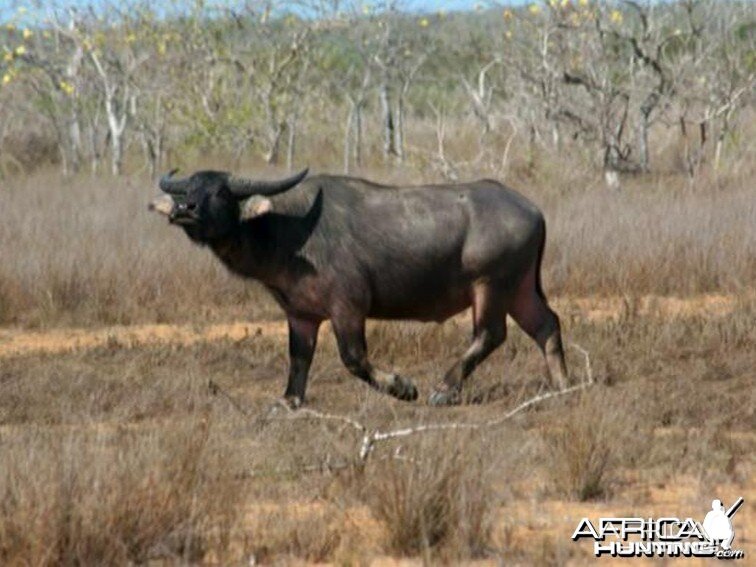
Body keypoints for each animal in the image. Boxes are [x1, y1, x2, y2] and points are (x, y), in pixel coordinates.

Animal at [151, 169, 568, 408]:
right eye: (188, 189)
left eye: (221, 192)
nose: (184, 209)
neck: (289, 230)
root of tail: (532, 209)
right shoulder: (300, 314)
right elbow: (298, 358)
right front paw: (288, 401)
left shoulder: (348, 306)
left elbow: (353, 359)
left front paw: (402, 387)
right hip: (519, 290)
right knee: (546, 324)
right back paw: (561, 386)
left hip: (490, 285)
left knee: (490, 334)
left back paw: (445, 390)